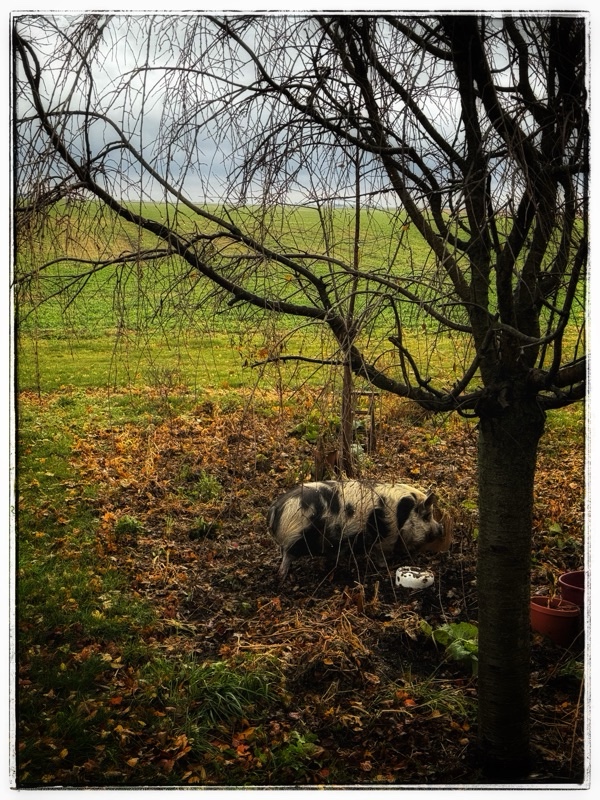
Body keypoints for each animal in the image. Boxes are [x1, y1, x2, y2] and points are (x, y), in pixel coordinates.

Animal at [267, 479, 450, 582]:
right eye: (427, 516)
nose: (441, 528)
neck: (402, 516)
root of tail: (276, 508)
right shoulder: (386, 538)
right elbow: (381, 555)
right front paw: (387, 566)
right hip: (297, 537)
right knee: (287, 555)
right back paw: (282, 576)